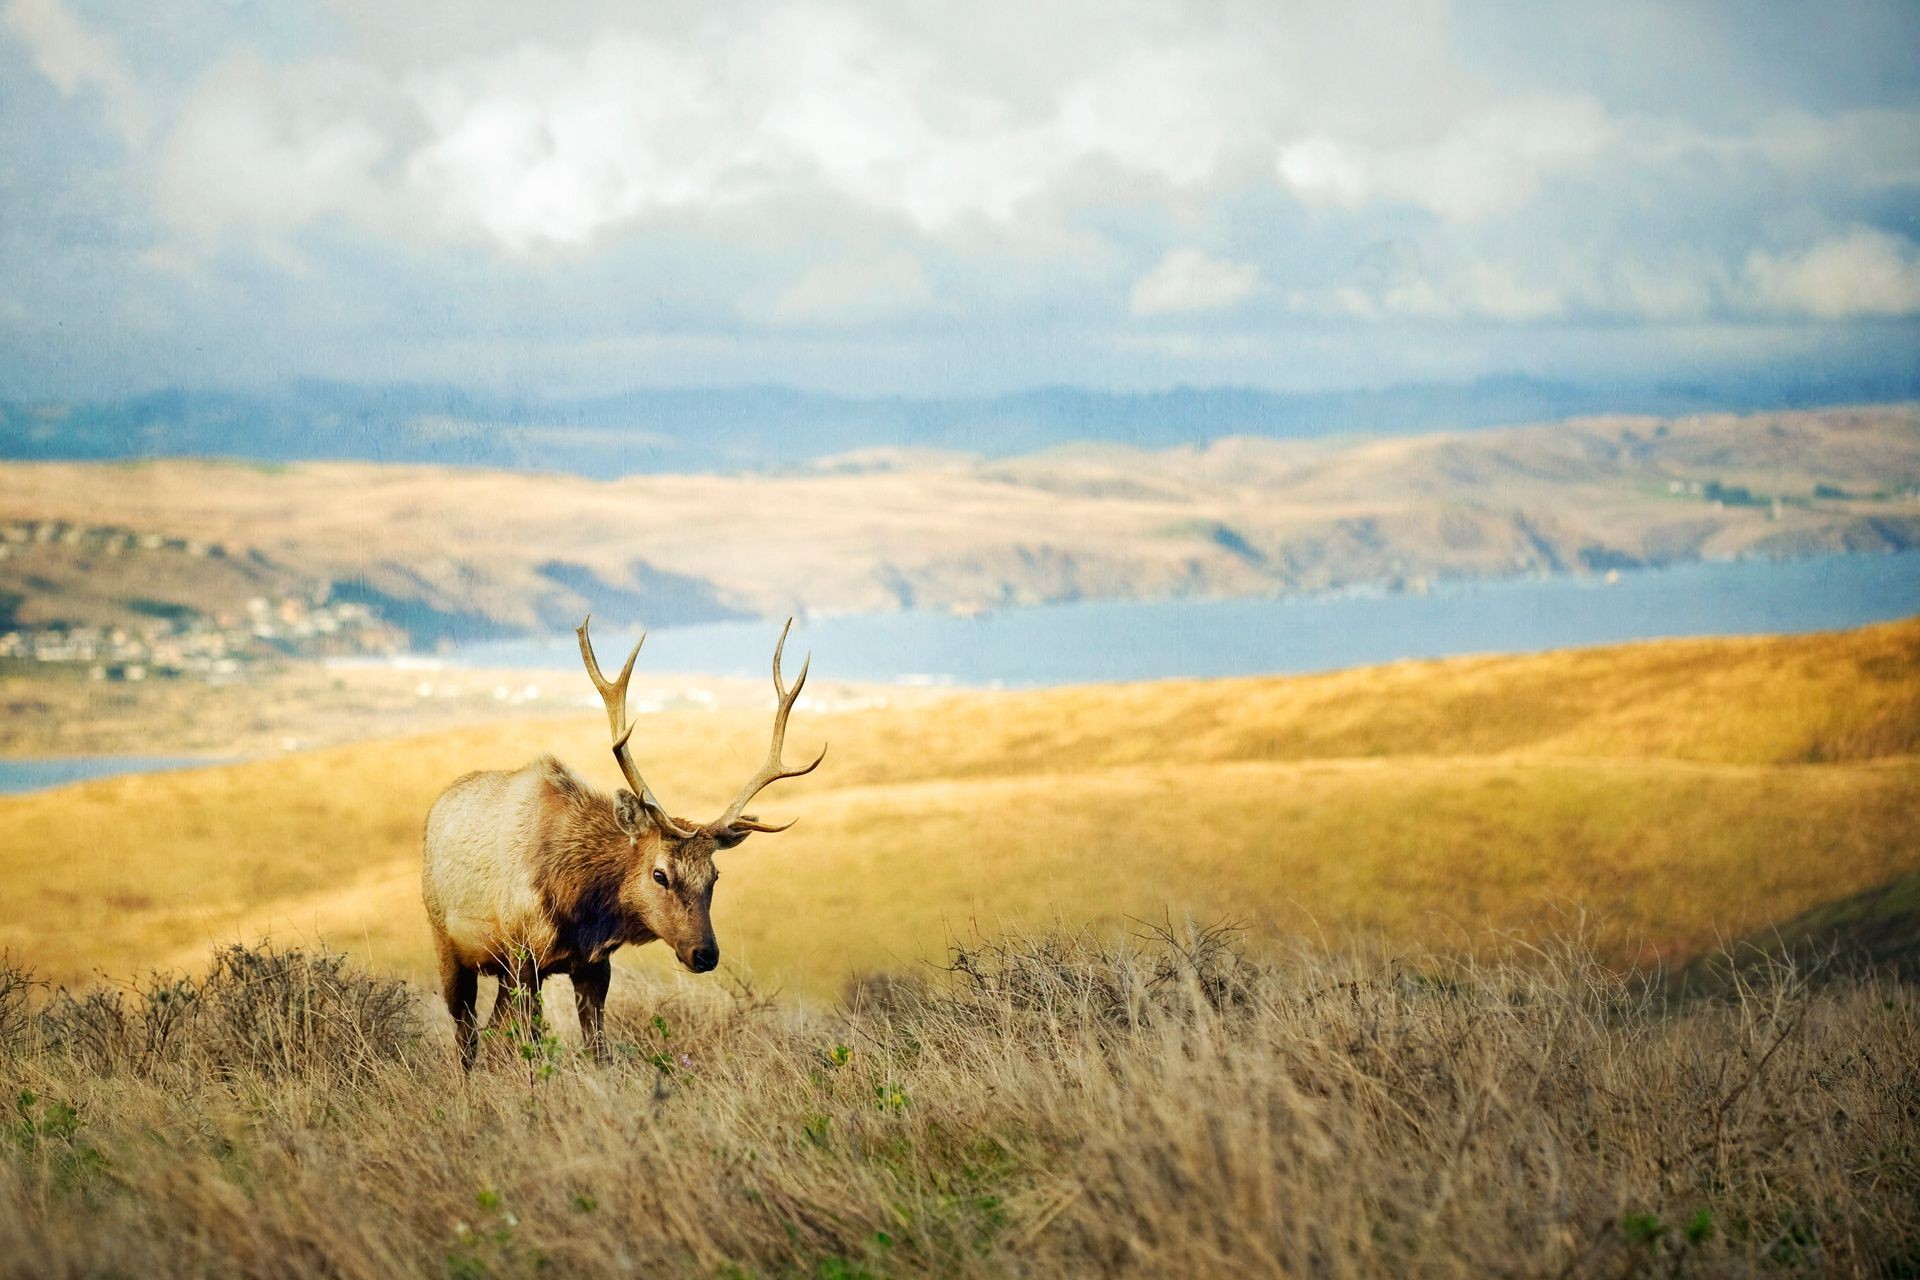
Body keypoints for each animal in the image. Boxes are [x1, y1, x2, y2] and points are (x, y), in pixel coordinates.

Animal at [422, 614, 825, 1066]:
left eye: (715, 877)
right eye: (659, 874)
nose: (705, 953)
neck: (579, 905)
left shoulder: (593, 965)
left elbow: (598, 1049)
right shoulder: (523, 956)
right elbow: (532, 1046)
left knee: (488, 1029)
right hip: (446, 941)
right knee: (467, 1034)